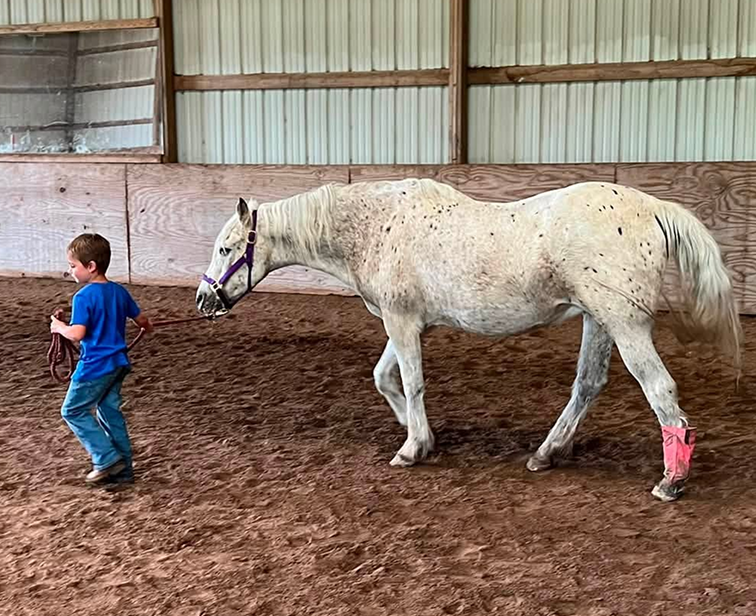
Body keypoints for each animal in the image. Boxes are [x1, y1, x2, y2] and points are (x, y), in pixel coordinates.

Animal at [196, 178, 742, 502]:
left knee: (660, 392)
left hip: (624, 323)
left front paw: (412, 448)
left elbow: (411, 383)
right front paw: (422, 435)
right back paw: (546, 454)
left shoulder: (400, 321)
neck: (375, 226)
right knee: (588, 386)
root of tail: (652, 207)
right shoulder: (406, 322)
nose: (203, 300)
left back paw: (671, 481)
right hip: (599, 321)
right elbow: (384, 379)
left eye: (226, 249)